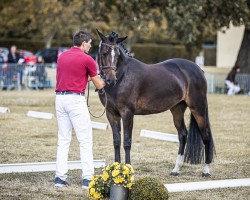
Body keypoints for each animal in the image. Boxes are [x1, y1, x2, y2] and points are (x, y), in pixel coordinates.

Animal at [95, 29, 215, 177]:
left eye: (117, 54)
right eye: (105, 52)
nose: (111, 80)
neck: (122, 75)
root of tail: (198, 69)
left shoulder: (127, 113)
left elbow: (127, 142)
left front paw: (128, 169)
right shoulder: (111, 114)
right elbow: (116, 142)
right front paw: (115, 170)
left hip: (198, 108)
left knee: (206, 136)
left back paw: (206, 170)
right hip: (177, 109)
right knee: (182, 135)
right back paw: (176, 169)